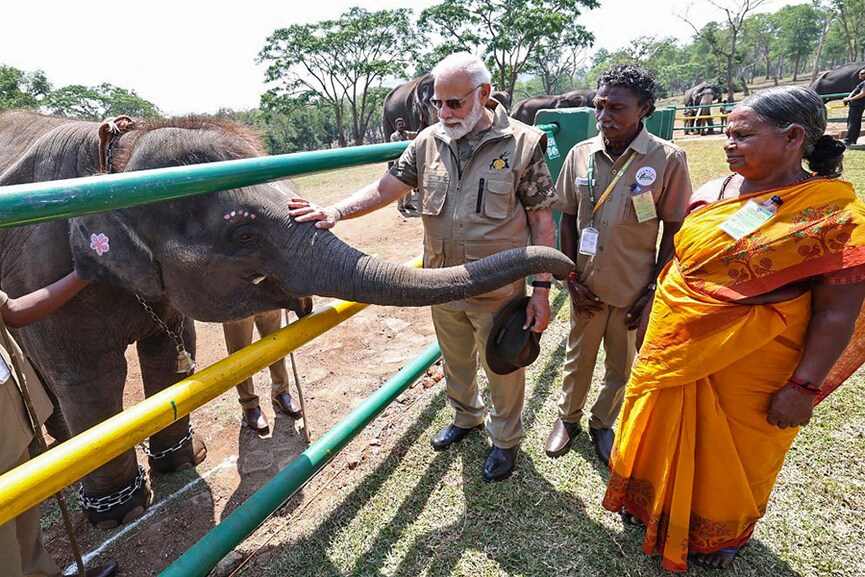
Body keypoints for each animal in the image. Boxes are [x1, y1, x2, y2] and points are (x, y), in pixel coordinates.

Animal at [0, 111, 572, 528]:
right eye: (243, 235)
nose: (564, 267)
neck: (113, 165)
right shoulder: (40, 273)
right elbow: (89, 377)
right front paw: (122, 513)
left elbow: (170, 352)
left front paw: (184, 461)